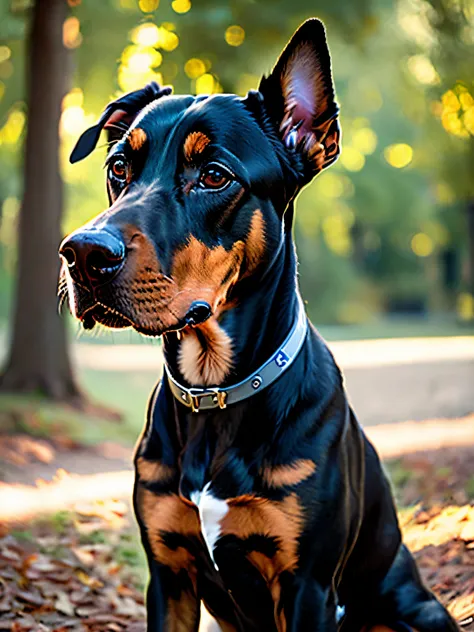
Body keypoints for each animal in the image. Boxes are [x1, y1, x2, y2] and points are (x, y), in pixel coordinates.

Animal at [59, 19, 460, 632]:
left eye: (213, 175)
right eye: (119, 167)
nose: (82, 253)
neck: (216, 393)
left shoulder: (307, 585)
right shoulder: (168, 573)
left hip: (411, 611)